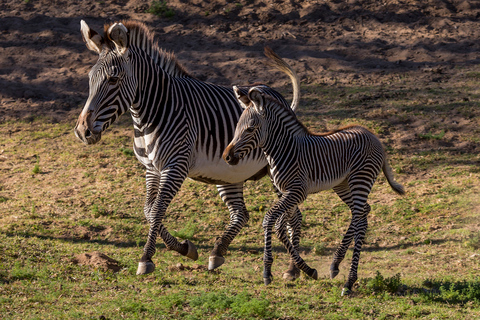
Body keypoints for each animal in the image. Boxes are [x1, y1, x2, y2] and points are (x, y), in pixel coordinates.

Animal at [73, 18, 302, 276]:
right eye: (90, 79)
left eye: (113, 80)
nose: (82, 131)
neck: (152, 112)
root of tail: (280, 98)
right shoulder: (151, 168)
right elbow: (148, 210)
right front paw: (184, 248)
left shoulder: (175, 166)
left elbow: (157, 210)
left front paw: (146, 258)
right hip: (228, 174)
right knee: (241, 213)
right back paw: (217, 252)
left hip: (279, 170)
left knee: (294, 215)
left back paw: (293, 269)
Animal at [223, 73, 404, 296]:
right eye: (237, 128)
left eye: (250, 129)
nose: (227, 156)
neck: (284, 149)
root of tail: (372, 134)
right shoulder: (287, 192)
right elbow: (281, 228)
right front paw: (306, 269)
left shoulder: (297, 191)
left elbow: (269, 219)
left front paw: (267, 271)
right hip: (343, 185)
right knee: (363, 214)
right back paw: (336, 265)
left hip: (360, 179)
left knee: (359, 218)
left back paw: (348, 282)